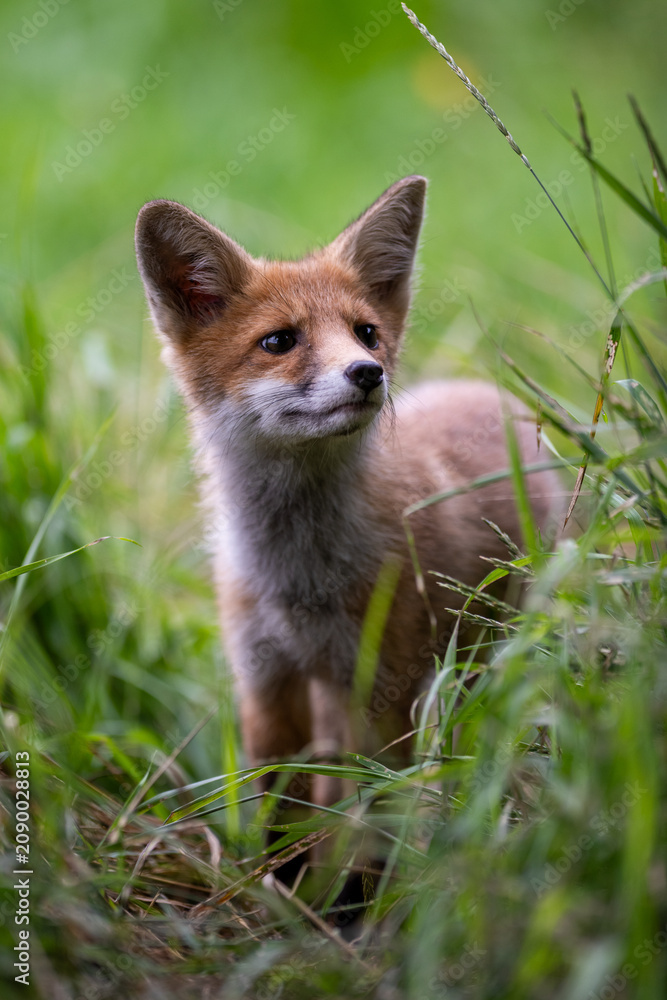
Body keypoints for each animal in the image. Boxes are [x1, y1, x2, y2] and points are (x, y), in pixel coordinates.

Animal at [135, 176, 560, 846]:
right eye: (279, 341)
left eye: (365, 332)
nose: (368, 372)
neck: (297, 579)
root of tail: (486, 392)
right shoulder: (265, 684)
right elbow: (282, 820)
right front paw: (277, 874)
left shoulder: (375, 688)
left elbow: (367, 824)